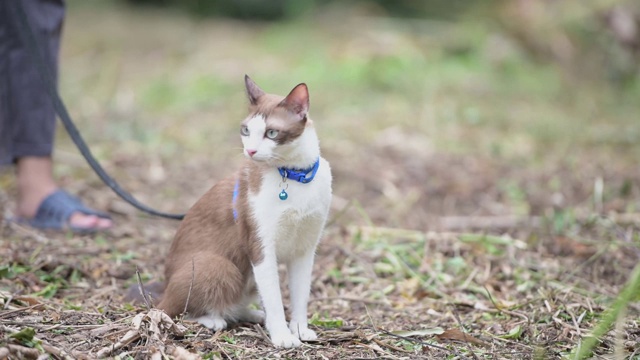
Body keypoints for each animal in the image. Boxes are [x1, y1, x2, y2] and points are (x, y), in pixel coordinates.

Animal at [156, 76, 332, 348]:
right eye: (246, 130)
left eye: (271, 133)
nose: (250, 151)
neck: (295, 175)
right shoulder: (260, 246)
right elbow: (274, 298)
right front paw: (283, 336)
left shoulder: (305, 249)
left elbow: (301, 294)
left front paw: (300, 329)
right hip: (219, 265)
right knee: (173, 311)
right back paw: (215, 320)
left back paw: (251, 314)